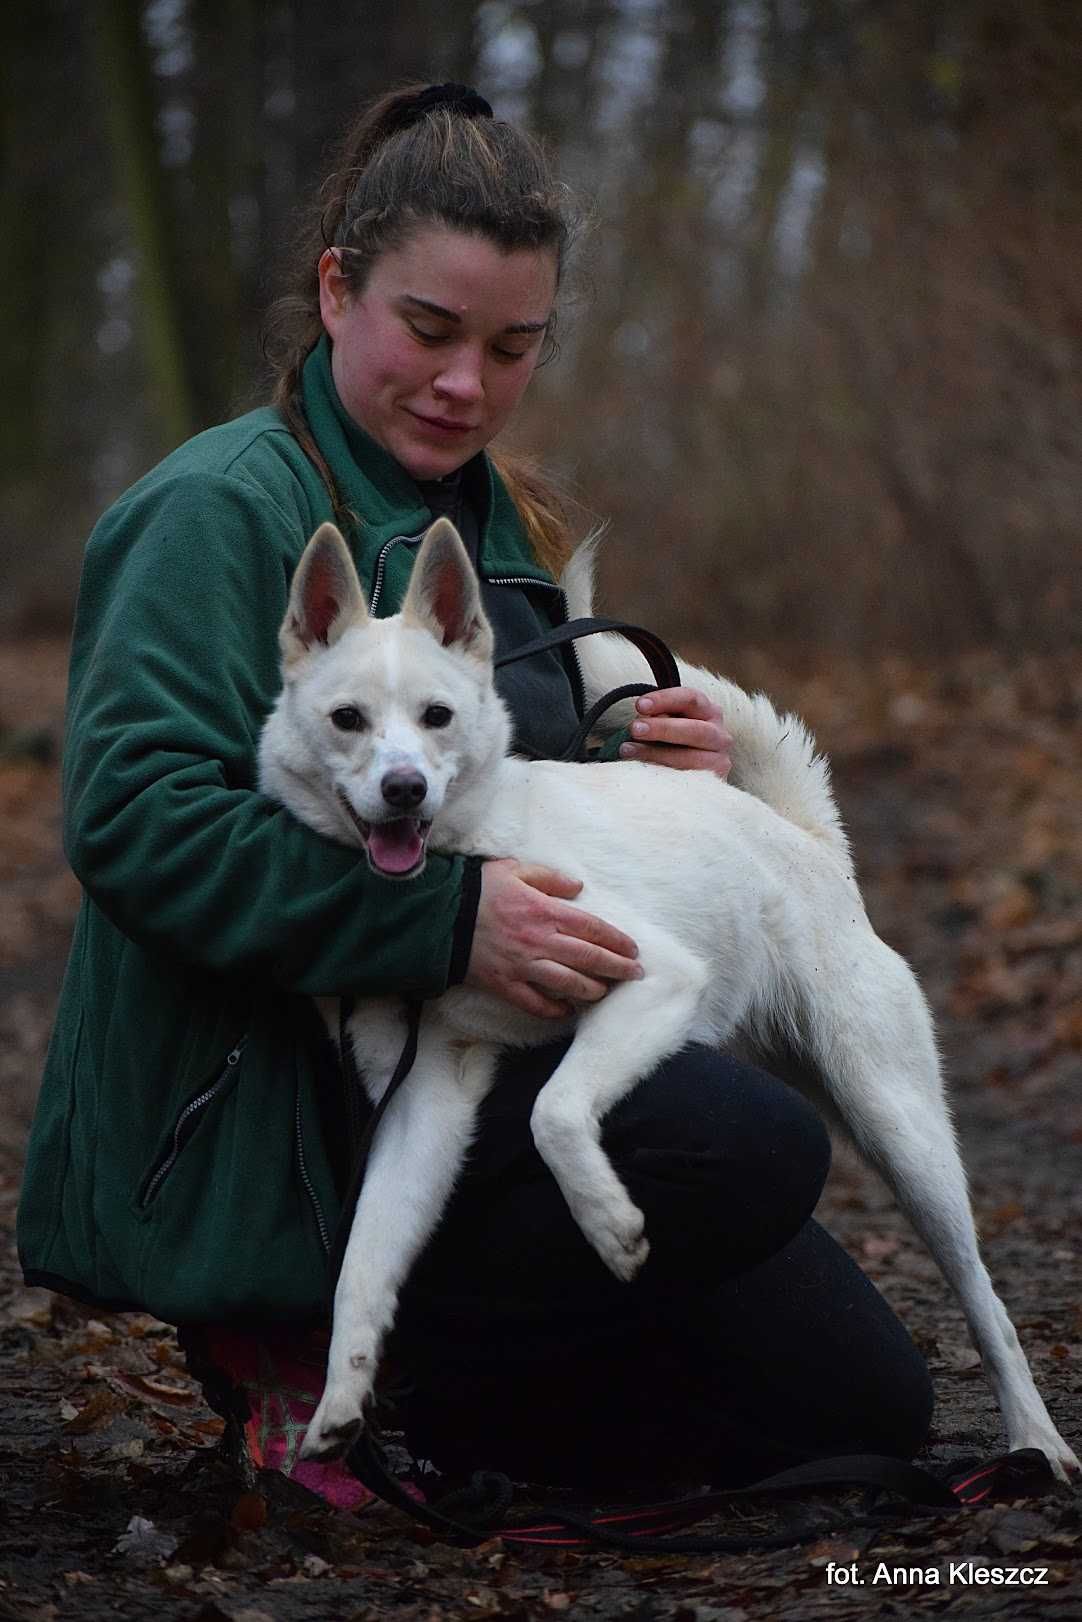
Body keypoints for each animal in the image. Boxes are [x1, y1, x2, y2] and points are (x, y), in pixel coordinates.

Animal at [257, 519, 1077, 1485]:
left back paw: (1035, 1439)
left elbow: (553, 1110)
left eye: (436, 718)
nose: (404, 790)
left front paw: (610, 1224)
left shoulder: (654, 980)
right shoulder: (426, 1103)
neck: (472, 864)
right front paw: (341, 1401)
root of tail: (807, 840)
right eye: (348, 719)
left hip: (901, 1130)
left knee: (987, 1302)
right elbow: (363, 1263)